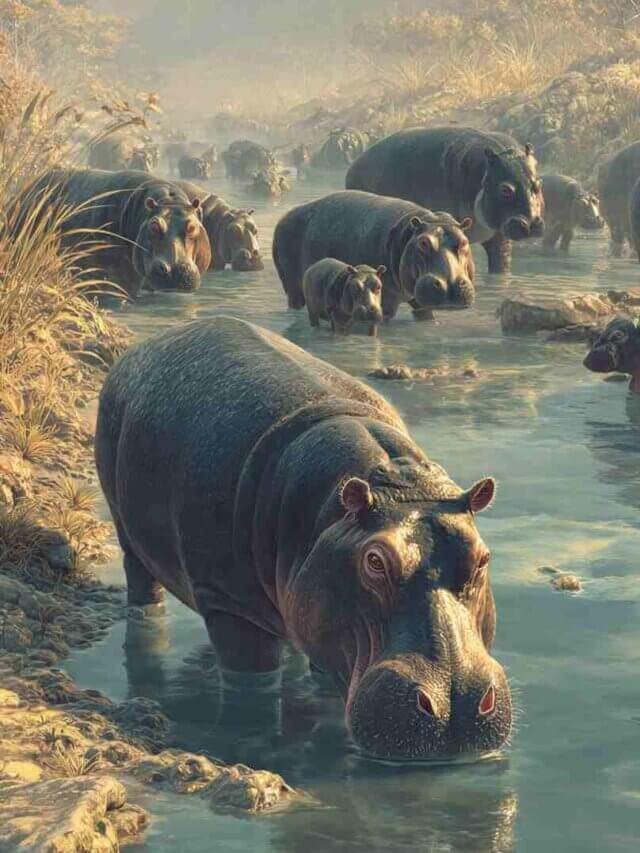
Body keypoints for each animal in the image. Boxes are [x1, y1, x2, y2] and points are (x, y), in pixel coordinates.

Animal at [95, 316, 511, 762]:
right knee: (141, 581)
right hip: (126, 529)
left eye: (482, 558)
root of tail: (145, 345)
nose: (455, 705)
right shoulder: (228, 603)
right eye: (375, 561)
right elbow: (252, 686)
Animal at [272, 190, 475, 321]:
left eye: (464, 241)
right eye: (423, 242)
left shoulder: (420, 304)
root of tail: (283, 218)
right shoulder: (385, 303)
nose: (449, 285)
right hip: (293, 287)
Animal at [345, 127, 544, 274]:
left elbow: (500, 264)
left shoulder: (498, 236)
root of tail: (354, 165)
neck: (483, 172)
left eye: (539, 184)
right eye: (505, 190)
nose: (531, 223)